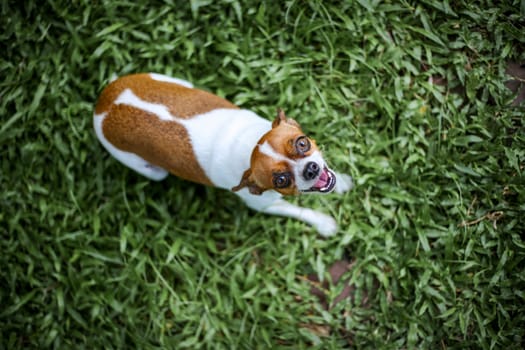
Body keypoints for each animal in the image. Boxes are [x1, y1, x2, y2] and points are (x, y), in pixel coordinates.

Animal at [93, 73, 352, 237]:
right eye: (281, 180)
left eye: (302, 143)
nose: (310, 169)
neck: (250, 147)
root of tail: (103, 105)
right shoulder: (265, 205)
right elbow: (298, 211)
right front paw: (323, 223)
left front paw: (340, 182)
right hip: (152, 172)